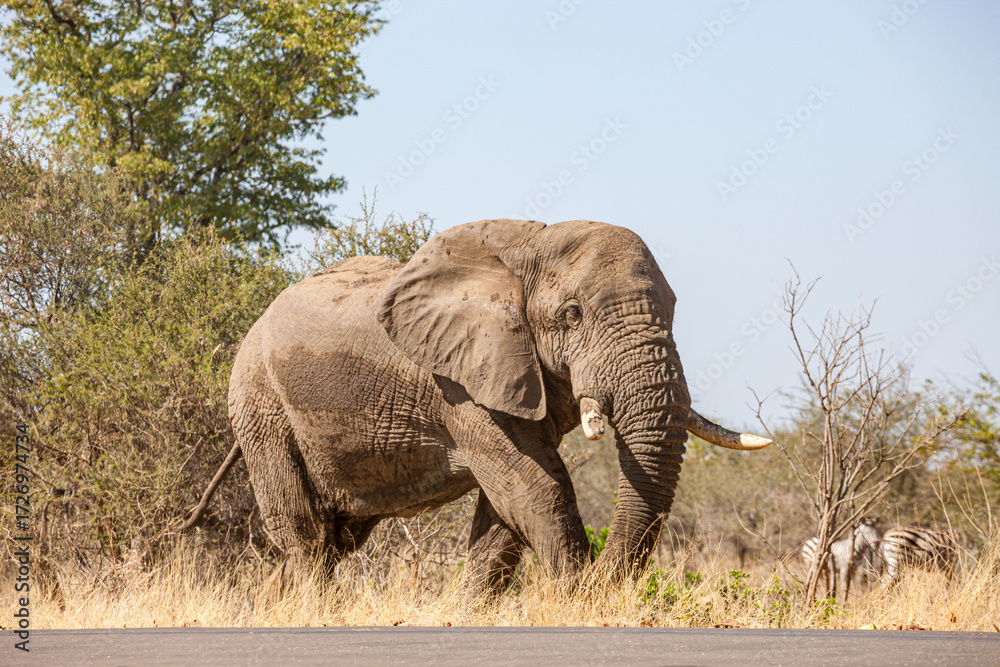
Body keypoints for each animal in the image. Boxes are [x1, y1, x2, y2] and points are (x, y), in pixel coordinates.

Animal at [183, 219, 771, 594]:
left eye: (672, 308)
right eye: (573, 314)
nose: (603, 578)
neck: (529, 246)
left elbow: (505, 510)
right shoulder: (459, 383)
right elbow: (535, 485)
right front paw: (580, 600)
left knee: (334, 538)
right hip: (260, 405)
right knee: (302, 531)